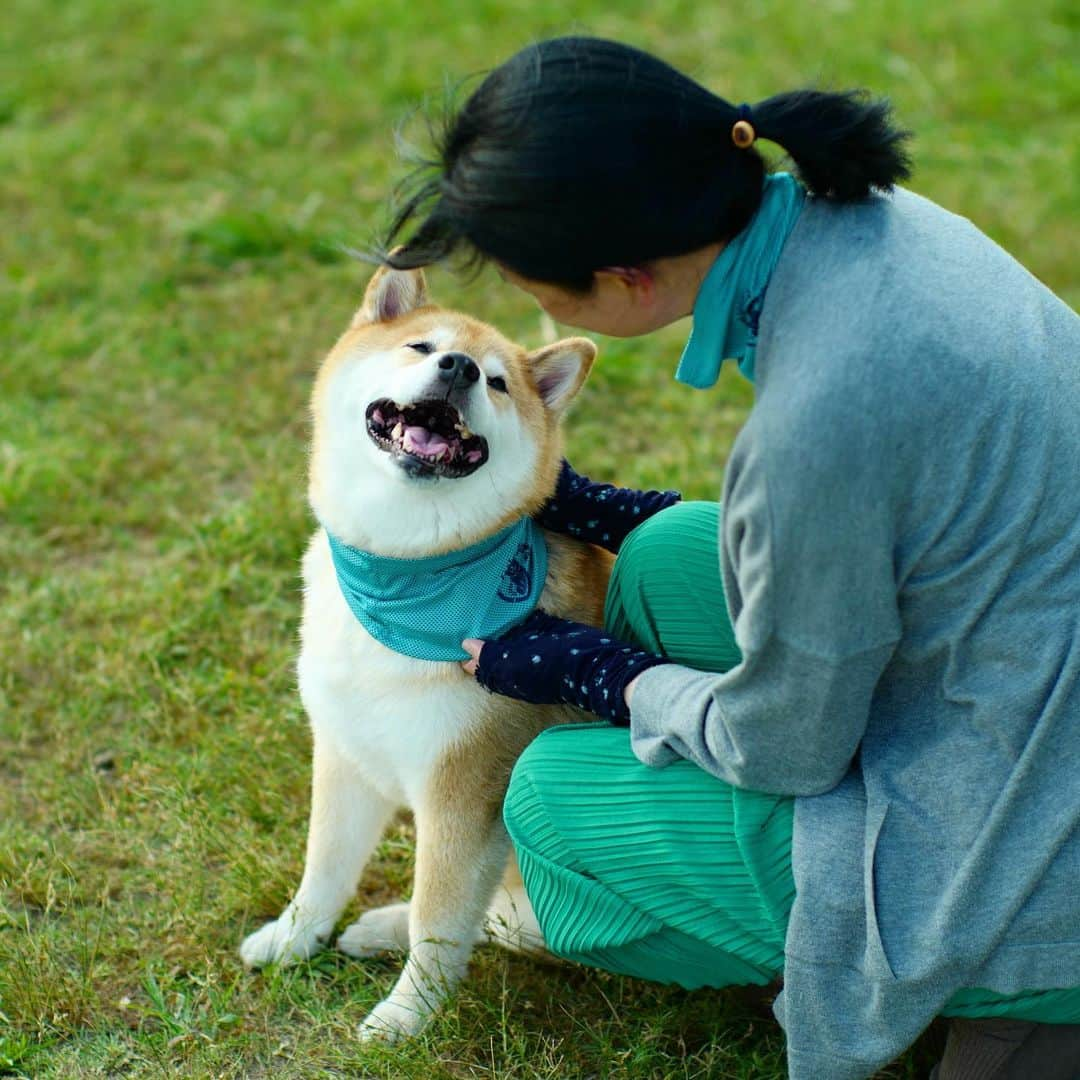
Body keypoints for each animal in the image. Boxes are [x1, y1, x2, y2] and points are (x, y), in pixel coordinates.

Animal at [244, 265, 613, 1041]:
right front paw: (294, 938)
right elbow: (325, 869)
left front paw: (404, 1018)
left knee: (498, 921)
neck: (401, 575)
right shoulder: (345, 753)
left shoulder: (464, 792)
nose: (461, 368)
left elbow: (439, 918)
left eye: (497, 382)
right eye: (421, 346)